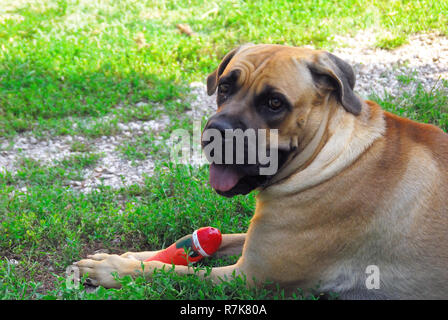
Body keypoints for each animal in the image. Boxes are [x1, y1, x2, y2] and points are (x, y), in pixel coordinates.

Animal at [75, 43, 448, 298]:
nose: (215, 131)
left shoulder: (249, 277)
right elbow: (209, 242)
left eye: (274, 103)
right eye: (225, 87)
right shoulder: (255, 242)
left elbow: (167, 273)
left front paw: (114, 269)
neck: (329, 155)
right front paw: (122, 255)